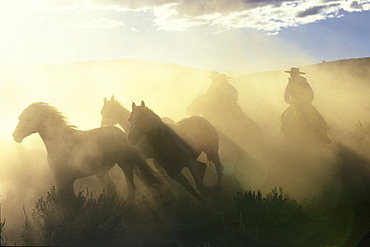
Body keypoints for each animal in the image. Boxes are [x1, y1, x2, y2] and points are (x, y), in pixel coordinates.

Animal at [12, 102, 160, 201]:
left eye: (26, 118)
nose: (15, 136)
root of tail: (123, 135)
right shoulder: (67, 179)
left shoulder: (61, 177)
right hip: (110, 169)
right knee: (119, 187)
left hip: (122, 164)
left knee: (126, 187)